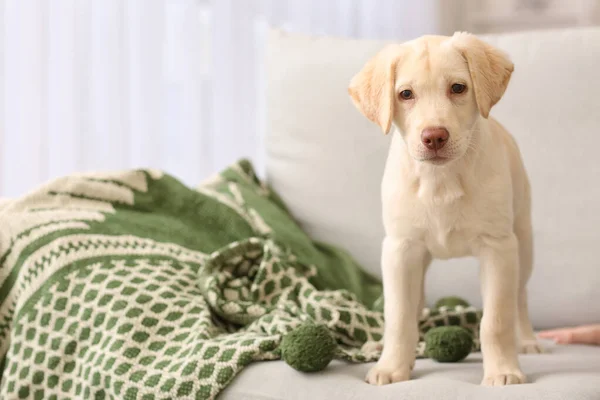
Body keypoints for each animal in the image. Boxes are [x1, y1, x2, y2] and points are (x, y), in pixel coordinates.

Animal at [350, 32, 540, 386]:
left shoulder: (498, 249)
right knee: (415, 305)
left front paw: (503, 370)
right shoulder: (400, 249)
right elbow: (399, 316)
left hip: (523, 244)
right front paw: (392, 366)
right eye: (405, 94)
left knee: (519, 296)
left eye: (458, 88)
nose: (434, 137)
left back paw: (528, 340)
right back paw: (382, 347)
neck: (440, 179)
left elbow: (496, 320)